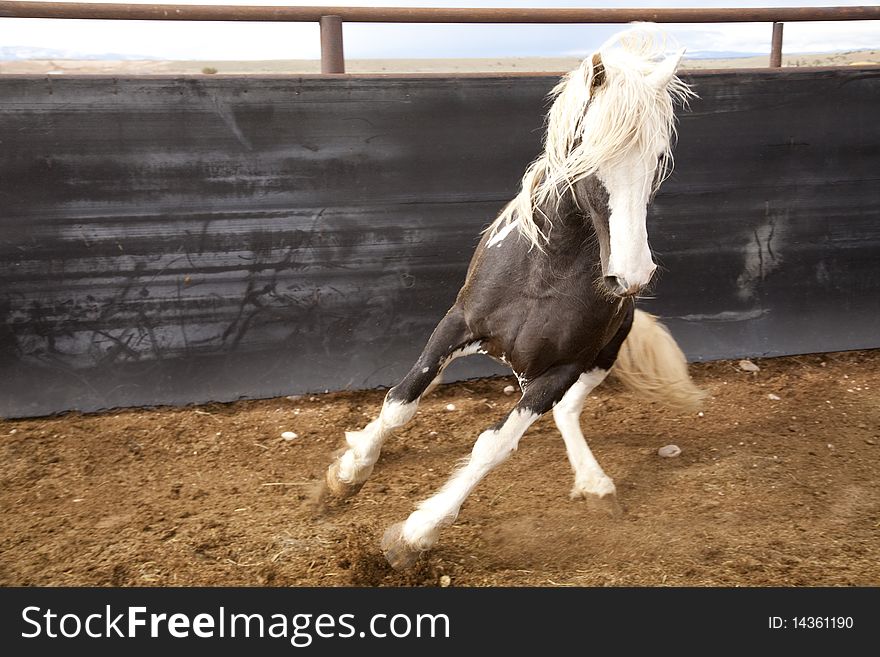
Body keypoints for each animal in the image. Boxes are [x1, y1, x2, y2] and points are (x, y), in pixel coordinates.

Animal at [316, 25, 700, 568]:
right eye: (588, 150)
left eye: (659, 157)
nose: (631, 274)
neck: (544, 274)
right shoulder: (456, 324)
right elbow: (400, 402)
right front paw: (348, 474)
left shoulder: (560, 369)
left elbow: (493, 446)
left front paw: (414, 535)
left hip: (600, 358)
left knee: (566, 412)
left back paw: (596, 484)